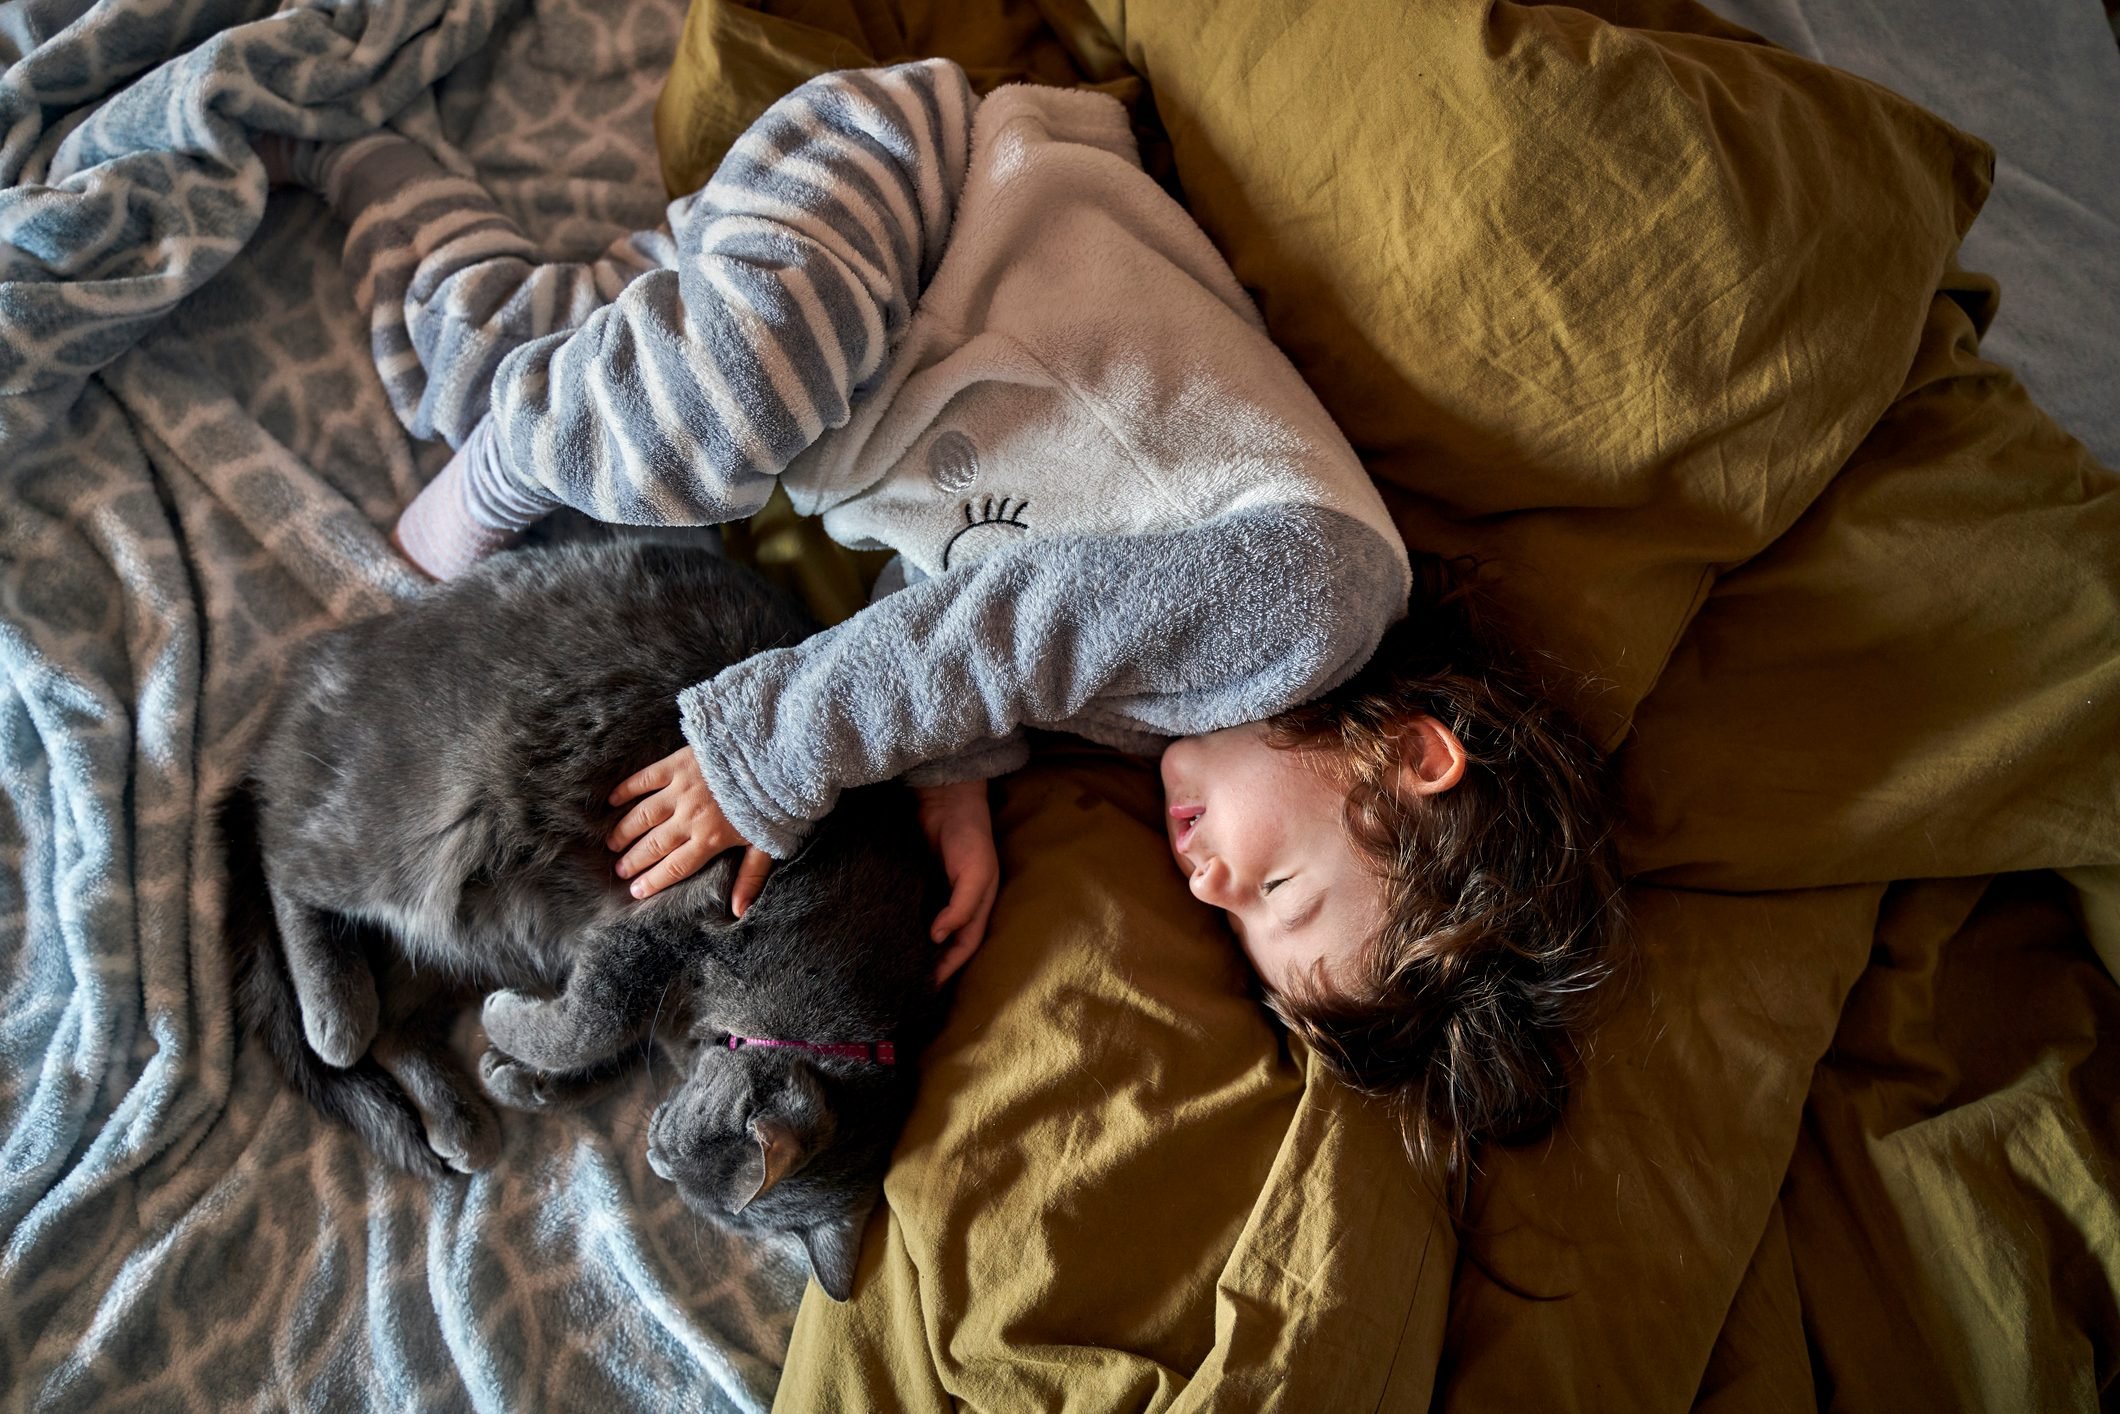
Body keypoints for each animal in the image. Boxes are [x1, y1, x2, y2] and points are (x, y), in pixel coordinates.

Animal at [219, 536, 941, 1297]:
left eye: (691, 1186)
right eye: (677, 1155)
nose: (653, 1155)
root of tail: (322, 665)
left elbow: (610, 1048)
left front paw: (522, 1079)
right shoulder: (664, 918)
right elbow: (595, 1019)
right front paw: (516, 1037)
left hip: (475, 938)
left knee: (397, 1024)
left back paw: (459, 1122)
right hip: (425, 839)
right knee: (283, 855)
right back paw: (336, 1018)